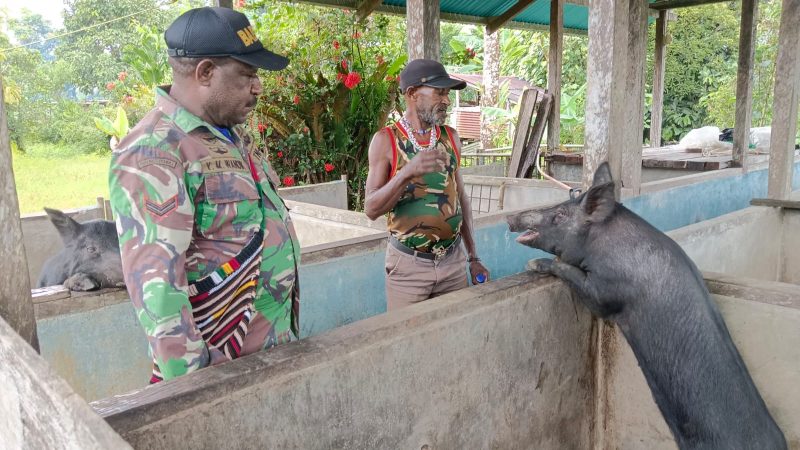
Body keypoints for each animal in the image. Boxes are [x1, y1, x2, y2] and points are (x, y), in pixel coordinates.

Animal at [510, 163, 784, 450]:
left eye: (561, 214)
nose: (511, 219)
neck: (602, 244)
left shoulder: (606, 292)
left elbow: (573, 275)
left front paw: (533, 264)